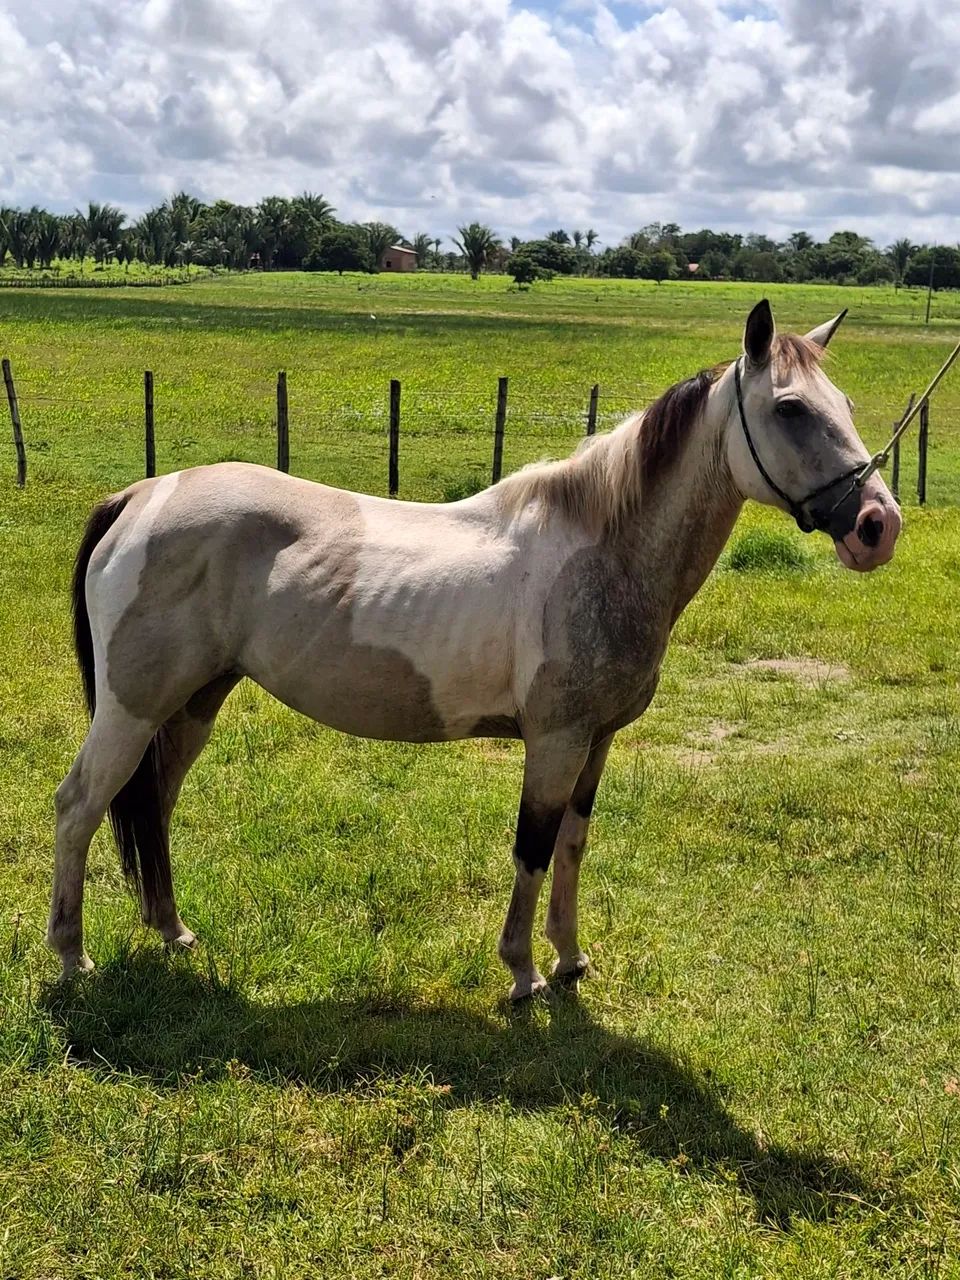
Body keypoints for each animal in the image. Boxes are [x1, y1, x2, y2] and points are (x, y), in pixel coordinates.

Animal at [48, 300, 901, 999]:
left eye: (846, 405)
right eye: (790, 408)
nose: (877, 526)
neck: (604, 550)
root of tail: (140, 495)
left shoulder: (596, 743)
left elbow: (573, 846)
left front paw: (570, 958)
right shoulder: (554, 743)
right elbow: (533, 848)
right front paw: (523, 972)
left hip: (194, 703)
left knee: (152, 806)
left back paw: (172, 931)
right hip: (131, 708)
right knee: (80, 804)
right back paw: (71, 957)